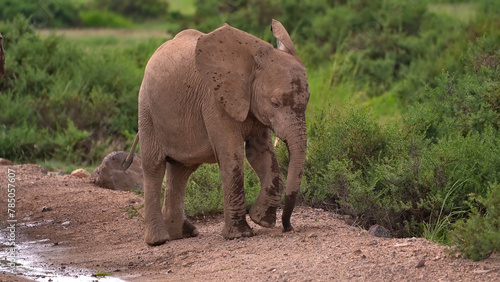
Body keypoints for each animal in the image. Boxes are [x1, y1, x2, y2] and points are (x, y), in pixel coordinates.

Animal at [126, 19, 308, 245]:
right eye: (275, 103)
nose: (287, 227)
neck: (251, 61)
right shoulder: (214, 101)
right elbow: (232, 156)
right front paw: (241, 233)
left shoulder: (252, 105)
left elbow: (261, 155)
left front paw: (262, 220)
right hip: (147, 111)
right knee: (154, 166)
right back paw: (158, 240)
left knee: (181, 169)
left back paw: (183, 234)